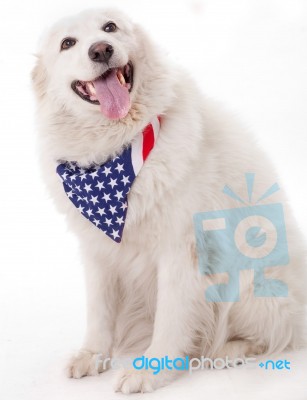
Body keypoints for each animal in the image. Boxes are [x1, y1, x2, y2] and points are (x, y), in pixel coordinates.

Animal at [32, 7, 306, 394]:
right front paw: (93, 354)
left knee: (276, 335)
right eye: (67, 43)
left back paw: (227, 351)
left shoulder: (180, 252)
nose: (101, 50)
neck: (118, 145)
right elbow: (99, 312)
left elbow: (170, 318)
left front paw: (151, 369)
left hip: (251, 276)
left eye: (109, 27)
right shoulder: (97, 250)